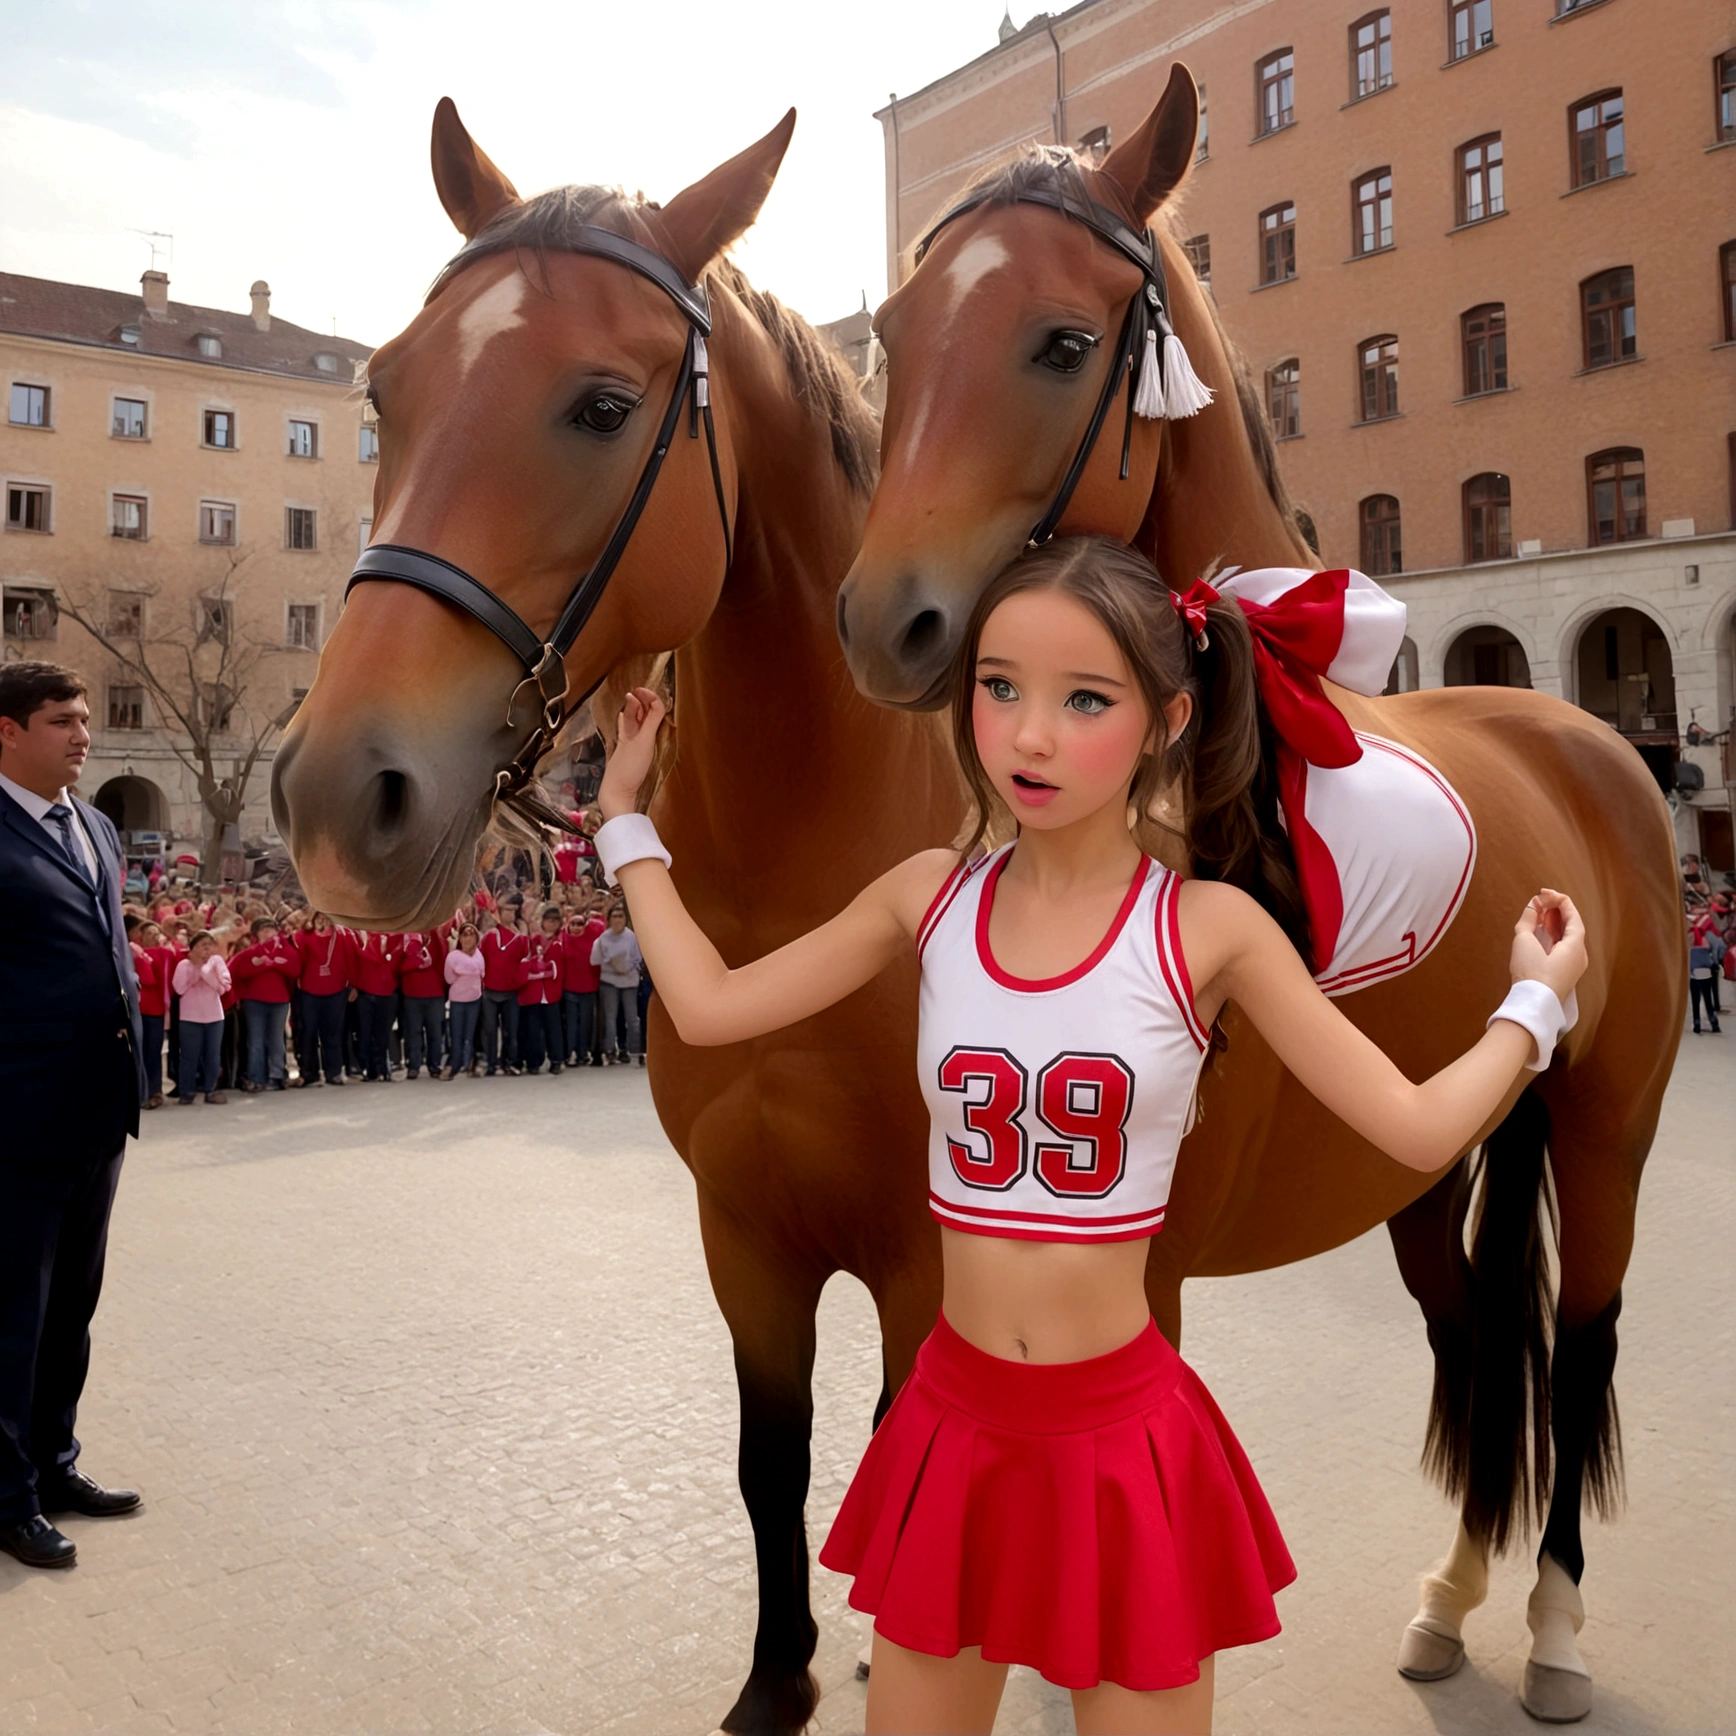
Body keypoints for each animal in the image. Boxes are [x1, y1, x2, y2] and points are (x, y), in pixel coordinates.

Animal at [267, 105, 965, 1722]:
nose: (337, 795)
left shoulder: (924, 1254)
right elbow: (772, 1466)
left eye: (597, 405)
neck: (797, 898)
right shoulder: (744, 1238)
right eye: (384, 389)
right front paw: (779, 1678)